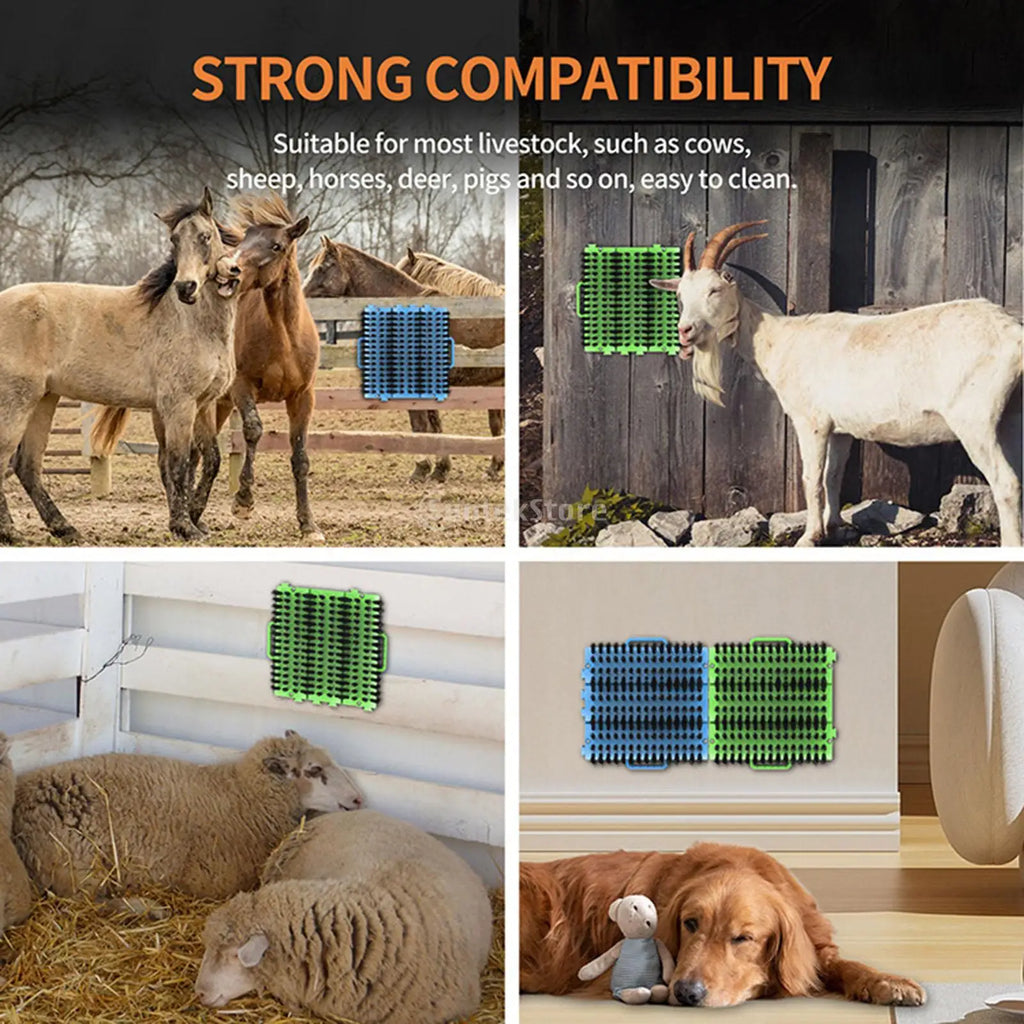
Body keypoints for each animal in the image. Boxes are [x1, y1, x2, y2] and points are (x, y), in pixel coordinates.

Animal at [0, 186, 240, 543]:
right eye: (174, 240)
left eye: (205, 237)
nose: (186, 288)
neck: (191, 322)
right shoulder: (178, 406)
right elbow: (178, 464)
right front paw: (184, 527)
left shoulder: (204, 405)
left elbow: (210, 460)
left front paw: (192, 521)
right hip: (18, 401)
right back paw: (11, 533)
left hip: (44, 400)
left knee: (27, 466)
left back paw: (65, 528)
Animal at [94, 195, 322, 540]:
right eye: (242, 241)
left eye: (277, 245)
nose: (232, 271)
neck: (283, 336)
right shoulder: (241, 388)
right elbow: (253, 431)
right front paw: (243, 501)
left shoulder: (302, 397)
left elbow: (300, 457)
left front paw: (308, 523)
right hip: (171, 412)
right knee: (170, 459)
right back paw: (186, 515)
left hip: (215, 407)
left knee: (194, 455)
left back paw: (194, 514)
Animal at [303, 238, 504, 482]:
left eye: (322, 267)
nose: (300, 297)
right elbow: (433, 425)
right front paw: (439, 468)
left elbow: (420, 425)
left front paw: (421, 468)